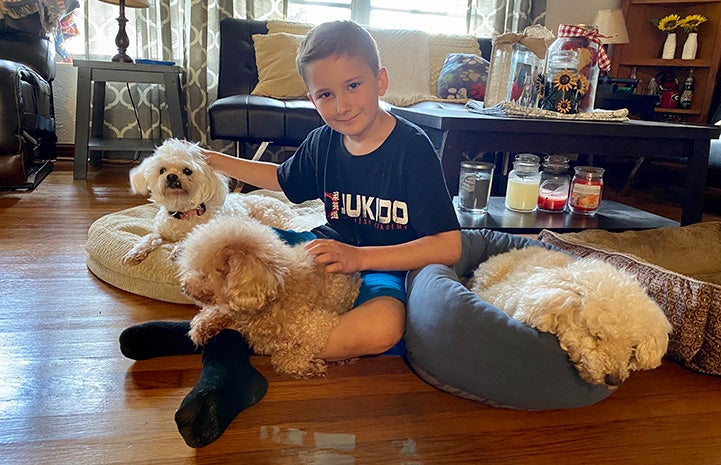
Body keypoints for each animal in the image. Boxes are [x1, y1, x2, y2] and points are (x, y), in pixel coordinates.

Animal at [122, 138, 294, 264]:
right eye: (162, 170)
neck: (184, 212)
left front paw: (179, 249)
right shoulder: (161, 232)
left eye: (187, 171)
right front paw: (136, 251)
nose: (171, 176)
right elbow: (151, 237)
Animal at [174, 215, 360, 376]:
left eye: (203, 275)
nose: (184, 288)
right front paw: (203, 326)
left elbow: (283, 360)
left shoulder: (318, 325)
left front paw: (311, 366)